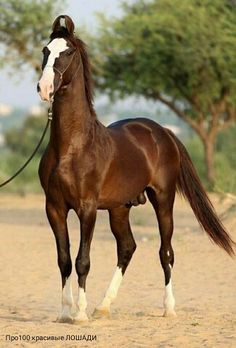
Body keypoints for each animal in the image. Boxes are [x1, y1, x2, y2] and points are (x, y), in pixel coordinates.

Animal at [37, 14, 234, 322]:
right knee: (127, 248)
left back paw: (168, 308)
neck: (71, 147)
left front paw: (79, 315)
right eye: (46, 51)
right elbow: (64, 260)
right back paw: (103, 306)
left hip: (162, 199)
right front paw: (64, 312)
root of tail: (163, 132)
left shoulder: (86, 208)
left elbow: (83, 261)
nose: (44, 89)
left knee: (166, 252)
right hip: (120, 208)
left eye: (67, 53)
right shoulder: (54, 207)